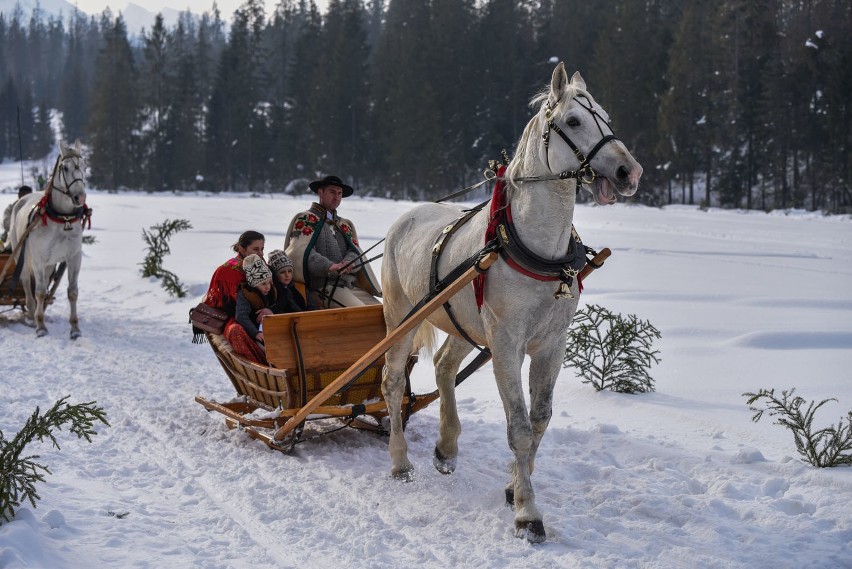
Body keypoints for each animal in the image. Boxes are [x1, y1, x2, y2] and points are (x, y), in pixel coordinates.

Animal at [8, 141, 89, 338]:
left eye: (84, 166)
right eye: (65, 167)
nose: (80, 197)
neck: (62, 219)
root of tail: (22, 200)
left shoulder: (74, 258)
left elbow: (72, 292)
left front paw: (75, 328)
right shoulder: (38, 260)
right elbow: (38, 292)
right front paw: (41, 327)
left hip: (50, 264)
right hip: (22, 256)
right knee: (27, 285)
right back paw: (32, 315)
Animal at [382, 63, 644, 540]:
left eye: (606, 117)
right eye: (573, 121)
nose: (628, 172)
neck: (537, 248)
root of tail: (406, 215)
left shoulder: (551, 345)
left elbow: (539, 418)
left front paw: (513, 486)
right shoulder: (506, 345)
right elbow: (519, 428)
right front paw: (528, 513)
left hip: (464, 321)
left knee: (444, 366)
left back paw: (446, 447)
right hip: (400, 318)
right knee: (393, 382)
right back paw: (400, 462)